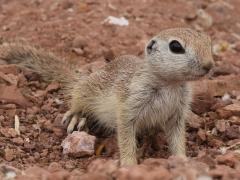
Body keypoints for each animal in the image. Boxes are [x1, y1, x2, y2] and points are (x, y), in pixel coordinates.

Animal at [0, 27, 214, 165]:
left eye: (208, 41)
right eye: (176, 46)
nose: (209, 65)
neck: (170, 84)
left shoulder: (178, 113)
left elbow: (177, 138)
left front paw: (182, 160)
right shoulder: (129, 105)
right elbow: (126, 136)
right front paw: (129, 165)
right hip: (89, 88)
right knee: (77, 96)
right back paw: (77, 115)